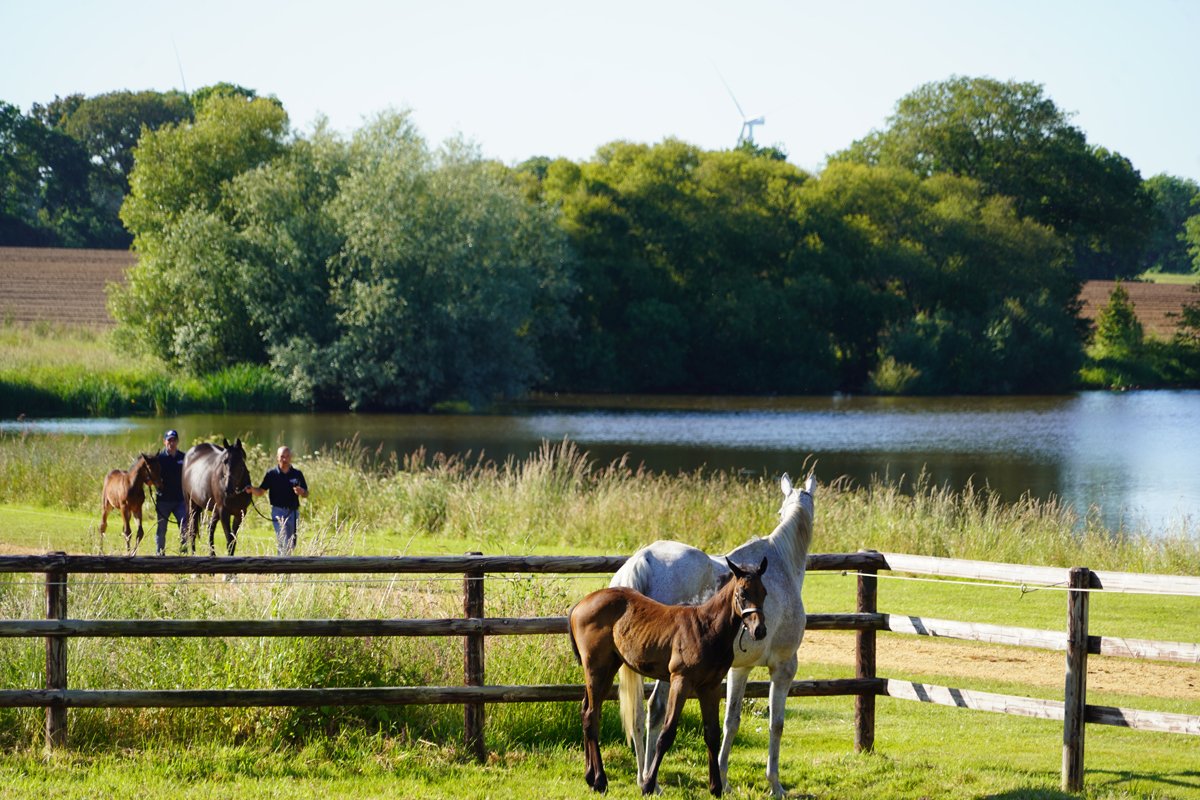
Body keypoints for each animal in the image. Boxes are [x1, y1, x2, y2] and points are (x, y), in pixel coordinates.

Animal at [569, 556, 769, 797]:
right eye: (742, 593)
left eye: (764, 592)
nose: (759, 630)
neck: (707, 628)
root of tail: (579, 605)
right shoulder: (680, 681)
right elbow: (666, 733)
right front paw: (648, 785)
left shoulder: (710, 686)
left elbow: (712, 733)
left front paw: (716, 787)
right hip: (596, 668)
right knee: (591, 715)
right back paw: (600, 780)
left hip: (607, 668)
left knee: (586, 711)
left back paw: (590, 776)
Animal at [610, 473, 815, 797]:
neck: (781, 565)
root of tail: (643, 560)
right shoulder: (783, 667)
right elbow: (777, 724)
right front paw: (775, 784)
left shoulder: (740, 669)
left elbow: (731, 721)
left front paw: (723, 779)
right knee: (656, 711)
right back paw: (651, 782)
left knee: (639, 715)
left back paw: (643, 777)